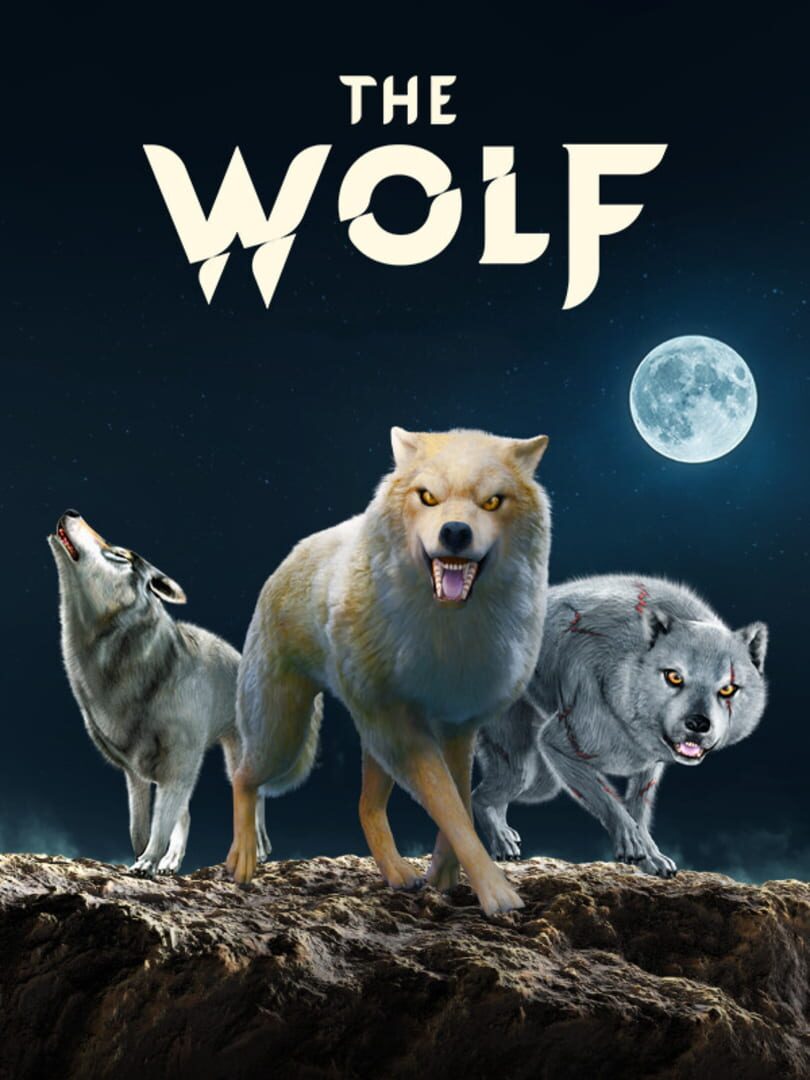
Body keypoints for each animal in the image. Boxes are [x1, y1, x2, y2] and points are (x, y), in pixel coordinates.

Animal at [49, 510, 271, 876]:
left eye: (121, 555)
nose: (71, 512)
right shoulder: (136, 772)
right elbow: (142, 825)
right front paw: (149, 860)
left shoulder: (179, 762)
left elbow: (161, 821)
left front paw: (146, 863)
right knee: (186, 813)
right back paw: (171, 862)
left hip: (235, 755)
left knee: (255, 798)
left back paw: (260, 850)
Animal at [227, 427, 551, 914]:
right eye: (428, 497)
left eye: (493, 501)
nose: (456, 533)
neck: (448, 631)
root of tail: (297, 551)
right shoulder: (405, 730)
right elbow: (451, 806)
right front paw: (496, 893)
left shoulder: (457, 727)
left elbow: (459, 800)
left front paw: (444, 875)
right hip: (287, 735)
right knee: (244, 777)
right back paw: (244, 858)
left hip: (370, 741)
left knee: (364, 807)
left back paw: (399, 873)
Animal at [474, 574, 768, 877]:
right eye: (674, 676)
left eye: (728, 688)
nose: (698, 723)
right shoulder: (558, 743)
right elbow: (608, 800)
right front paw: (630, 842)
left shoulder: (649, 767)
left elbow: (639, 810)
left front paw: (651, 858)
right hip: (524, 770)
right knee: (478, 797)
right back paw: (502, 844)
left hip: (538, 780)